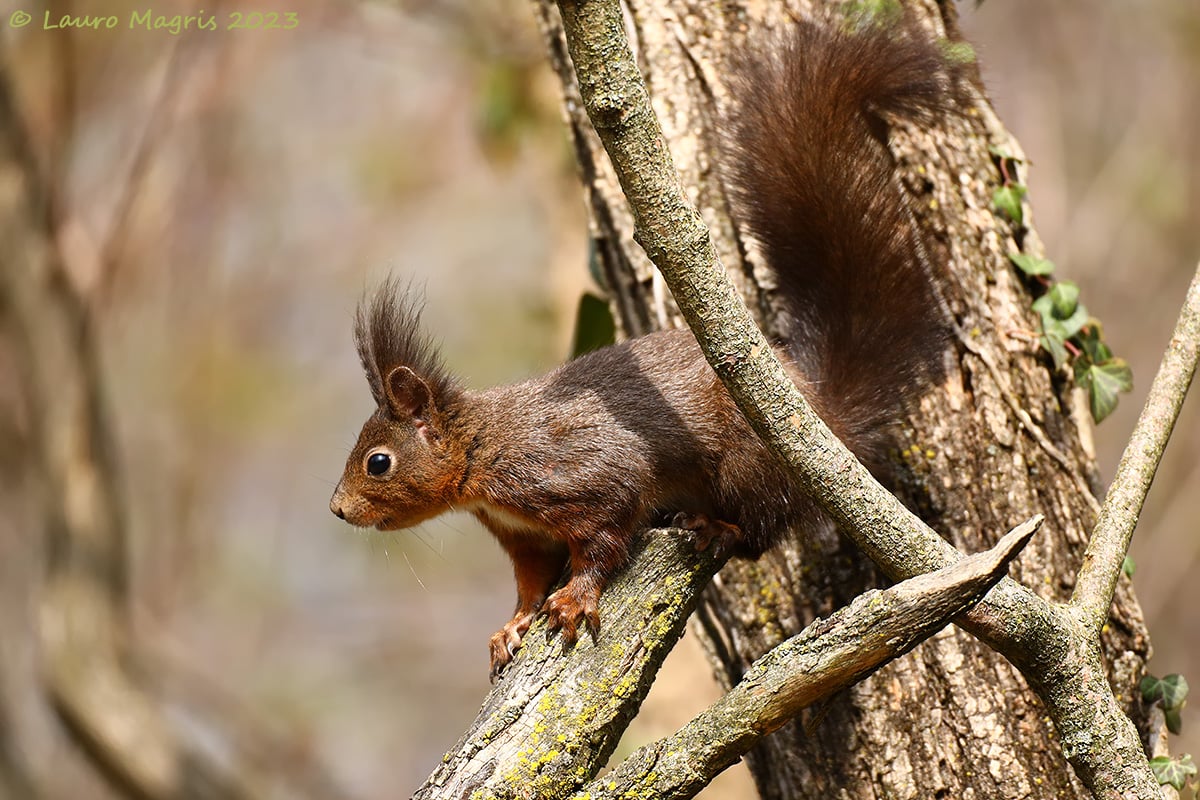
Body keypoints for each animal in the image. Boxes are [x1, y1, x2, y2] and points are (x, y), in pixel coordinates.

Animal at [330, 19, 958, 679]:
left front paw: (574, 601)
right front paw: (512, 626)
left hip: (748, 463)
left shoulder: (578, 477)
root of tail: (823, 415)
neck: (483, 454)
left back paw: (711, 525)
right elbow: (529, 584)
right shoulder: (525, 537)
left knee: (758, 531)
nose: (338, 509)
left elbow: (605, 538)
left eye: (378, 462)